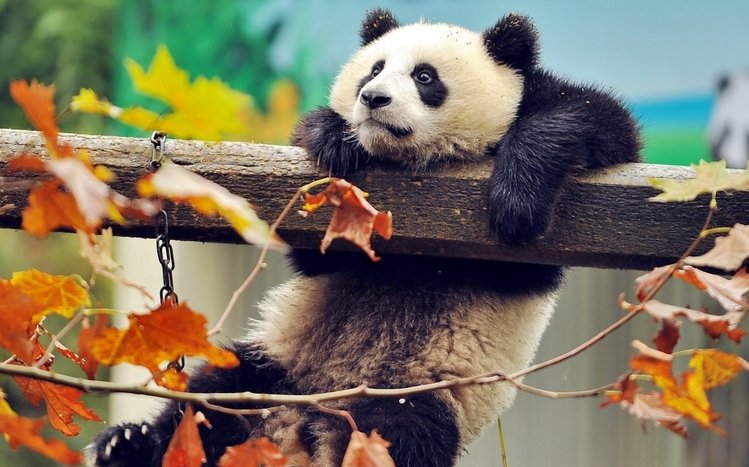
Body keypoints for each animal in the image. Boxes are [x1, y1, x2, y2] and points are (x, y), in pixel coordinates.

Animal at [88, 8, 639, 467]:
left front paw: (517, 200)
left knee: (402, 434)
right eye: (373, 70)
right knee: (215, 398)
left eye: (424, 76)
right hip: (277, 364)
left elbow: (594, 123)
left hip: (423, 392)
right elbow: (317, 254)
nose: (372, 99)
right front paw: (335, 138)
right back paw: (129, 445)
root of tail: (307, 422)